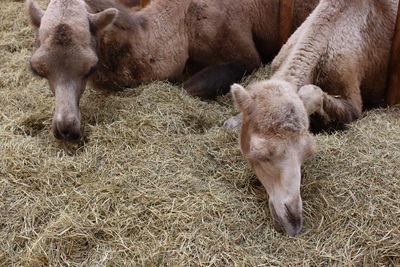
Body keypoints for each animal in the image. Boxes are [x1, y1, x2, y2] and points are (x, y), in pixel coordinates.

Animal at [25, 0, 318, 142]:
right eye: (38, 69)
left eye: (91, 66)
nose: (65, 129)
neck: (184, 23)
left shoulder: (246, 57)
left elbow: (190, 87)